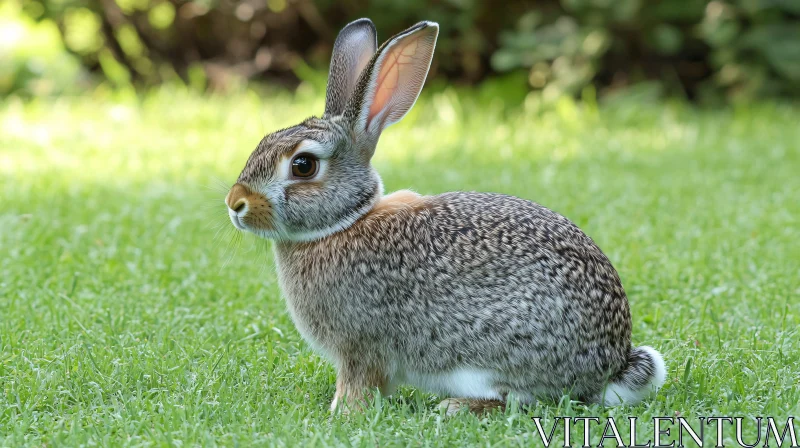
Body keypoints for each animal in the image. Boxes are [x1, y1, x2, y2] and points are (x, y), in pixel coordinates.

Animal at [222, 18, 664, 416]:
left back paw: (457, 406)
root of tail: (612, 366)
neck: (345, 221)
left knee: (520, 400)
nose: (235, 203)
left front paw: (341, 414)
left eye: (303, 166)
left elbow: (357, 385)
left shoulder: (360, 347)